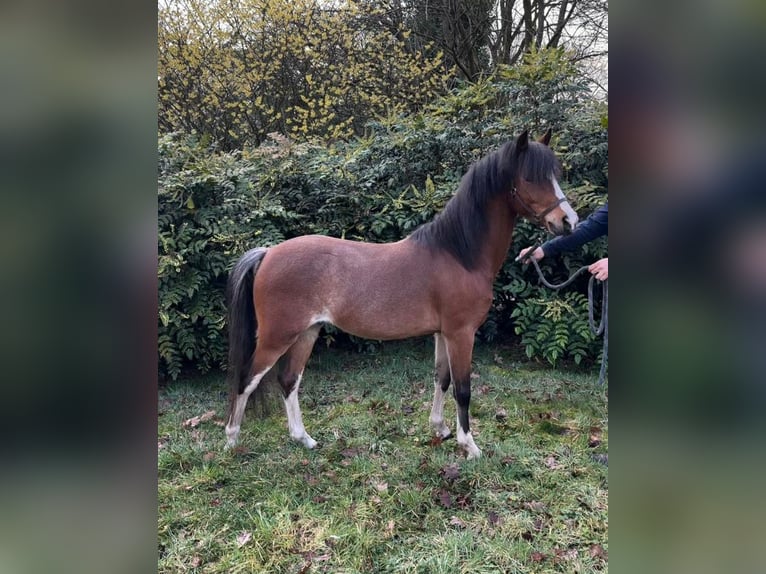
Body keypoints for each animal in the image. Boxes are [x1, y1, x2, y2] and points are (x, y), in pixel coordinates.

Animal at [224, 129, 578, 459]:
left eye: (555, 175)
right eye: (530, 177)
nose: (569, 221)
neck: (459, 254)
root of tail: (268, 253)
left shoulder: (442, 333)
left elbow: (441, 379)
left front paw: (440, 429)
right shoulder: (461, 333)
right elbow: (463, 389)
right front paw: (470, 445)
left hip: (307, 332)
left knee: (289, 380)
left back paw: (304, 439)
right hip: (278, 337)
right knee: (246, 380)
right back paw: (231, 441)